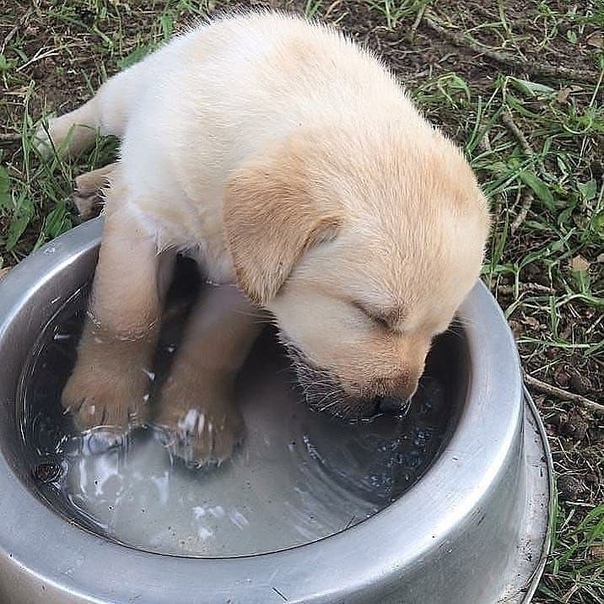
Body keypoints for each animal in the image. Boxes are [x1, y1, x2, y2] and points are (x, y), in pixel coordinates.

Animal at [37, 11, 488, 468]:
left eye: (436, 333)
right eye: (373, 316)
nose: (394, 407)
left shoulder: (242, 281)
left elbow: (214, 345)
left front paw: (198, 417)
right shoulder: (141, 222)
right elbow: (123, 316)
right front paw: (106, 395)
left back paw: (95, 184)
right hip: (133, 90)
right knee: (101, 108)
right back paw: (52, 138)